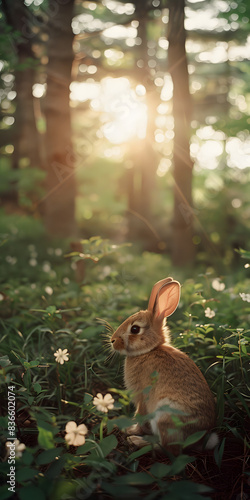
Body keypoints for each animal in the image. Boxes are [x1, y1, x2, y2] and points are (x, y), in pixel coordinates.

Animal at [110, 278, 218, 454]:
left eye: (135, 329)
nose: (112, 340)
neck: (150, 350)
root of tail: (198, 440)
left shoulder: (142, 397)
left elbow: (140, 415)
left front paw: (131, 430)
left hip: (165, 415)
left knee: (166, 447)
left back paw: (137, 441)